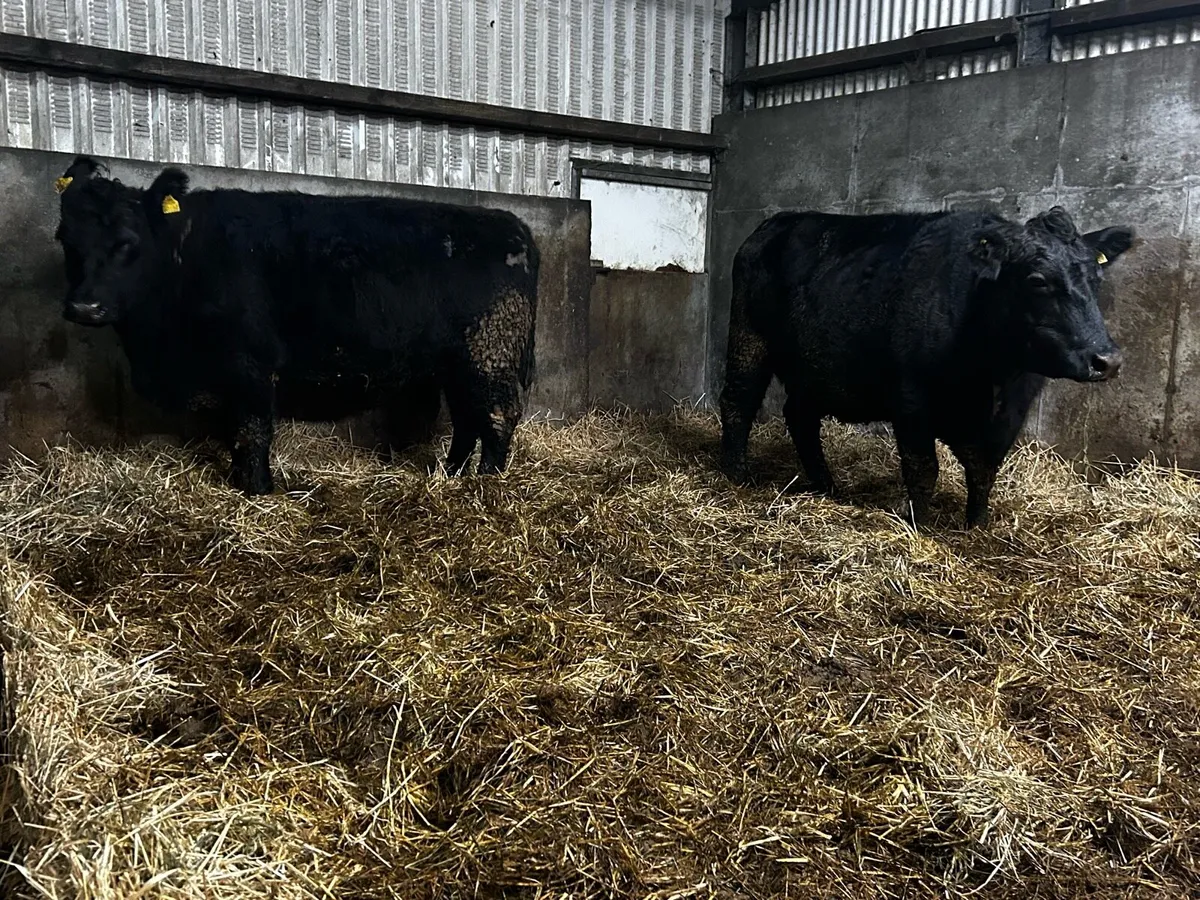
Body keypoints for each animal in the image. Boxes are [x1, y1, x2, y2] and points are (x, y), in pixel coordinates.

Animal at [53, 155, 539, 495]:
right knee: (466, 420)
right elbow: (234, 433)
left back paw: (486, 484)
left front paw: (257, 490)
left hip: (489, 354)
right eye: (66, 240)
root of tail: (510, 223)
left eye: (127, 242)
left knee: (496, 418)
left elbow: (252, 431)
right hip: (457, 363)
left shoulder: (250, 366)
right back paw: (451, 475)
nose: (84, 306)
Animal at [718, 206, 1134, 528]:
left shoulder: (1009, 412)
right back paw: (737, 476)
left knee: (799, 416)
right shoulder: (912, 397)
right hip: (749, 338)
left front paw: (977, 526)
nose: (1107, 360)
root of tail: (778, 221)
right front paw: (919, 526)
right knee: (739, 401)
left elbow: (984, 469)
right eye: (1037, 280)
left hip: (815, 370)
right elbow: (923, 469)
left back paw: (826, 486)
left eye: (1097, 278)